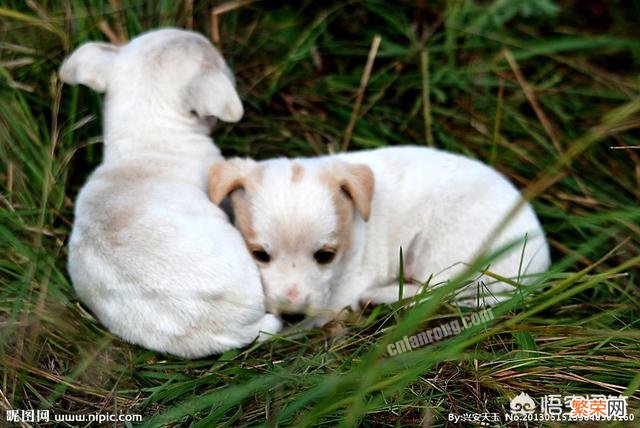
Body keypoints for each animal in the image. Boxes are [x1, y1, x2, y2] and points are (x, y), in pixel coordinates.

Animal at [209, 145, 552, 316]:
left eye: (325, 256)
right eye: (259, 255)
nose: (292, 314)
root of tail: (539, 267)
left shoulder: (346, 285)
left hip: (443, 249)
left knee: (438, 291)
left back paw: (380, 297)